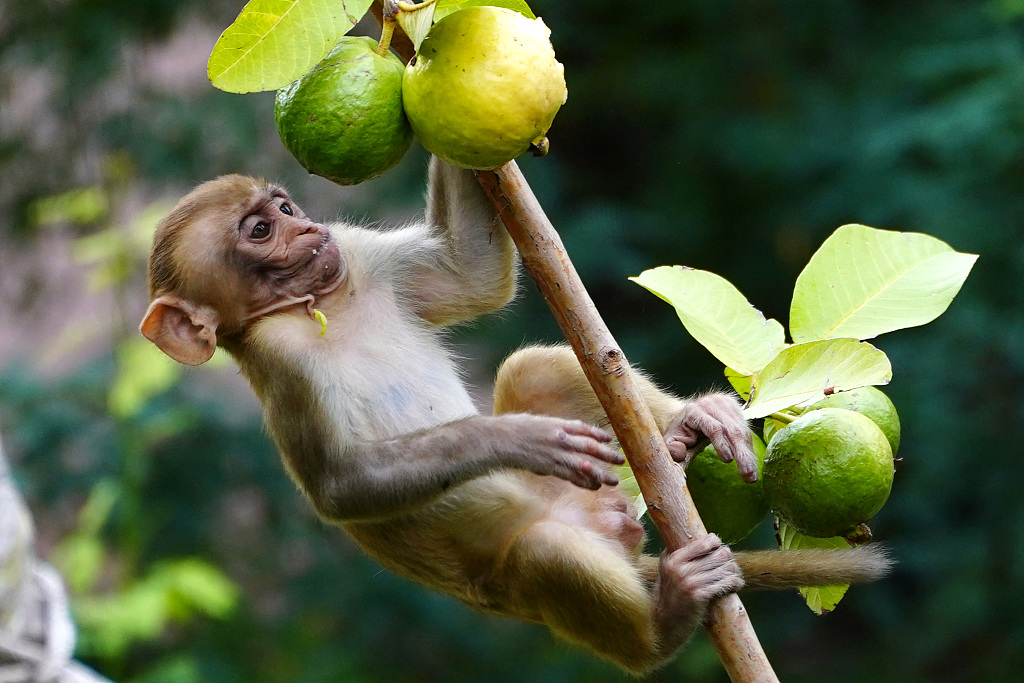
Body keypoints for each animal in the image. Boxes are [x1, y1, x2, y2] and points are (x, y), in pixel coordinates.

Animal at [138, 157, 888, 675]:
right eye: (262, 229)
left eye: (286, 205)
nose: (307, 226)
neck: (321, 306)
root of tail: (617, 536)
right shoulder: (284, 366)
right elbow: (341, 488)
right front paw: (513, 438)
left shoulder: (355, 255)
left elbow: (466, 272)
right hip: (528, 575)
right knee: (545, 554)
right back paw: (665, 623)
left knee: (536, 368)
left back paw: (686, 429)